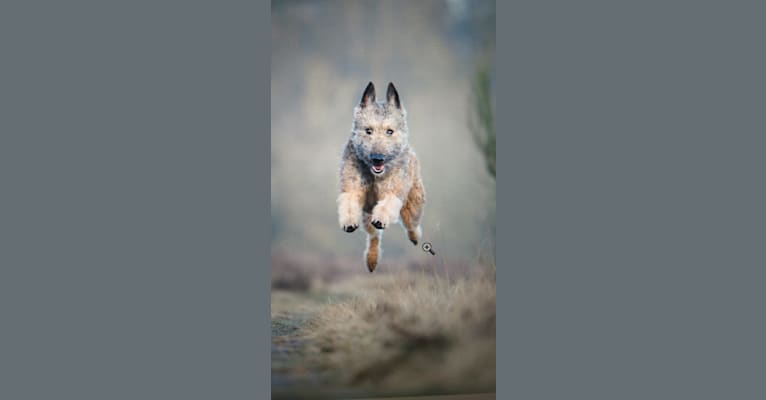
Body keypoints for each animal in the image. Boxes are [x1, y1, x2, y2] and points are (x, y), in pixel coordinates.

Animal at [340, 82, 428, 274]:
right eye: (368, 130)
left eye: (389, 131)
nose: (377, 158)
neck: (374, 177)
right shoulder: (352, 188)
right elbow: (349, 202)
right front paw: (349, 221)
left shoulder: (393, 192)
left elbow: (388, 203)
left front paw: (382, 219)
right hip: (367, 216)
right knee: (374, 237)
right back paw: (371, 261)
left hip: (412, 205)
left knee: (412, 224)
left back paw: (415, 237)